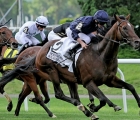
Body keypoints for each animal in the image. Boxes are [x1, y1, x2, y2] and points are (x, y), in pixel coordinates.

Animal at [0, 13, 140, 119]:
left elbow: (131, 87)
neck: (100, 55)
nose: (137, 42)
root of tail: (39, 51)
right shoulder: (88, 82)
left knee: (27, 96)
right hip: (48, 72)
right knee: (58, 94)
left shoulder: (110, 80)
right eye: (124, 28)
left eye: (132, 27)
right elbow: (103, 99)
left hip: (59, 79)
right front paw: (101, 106)